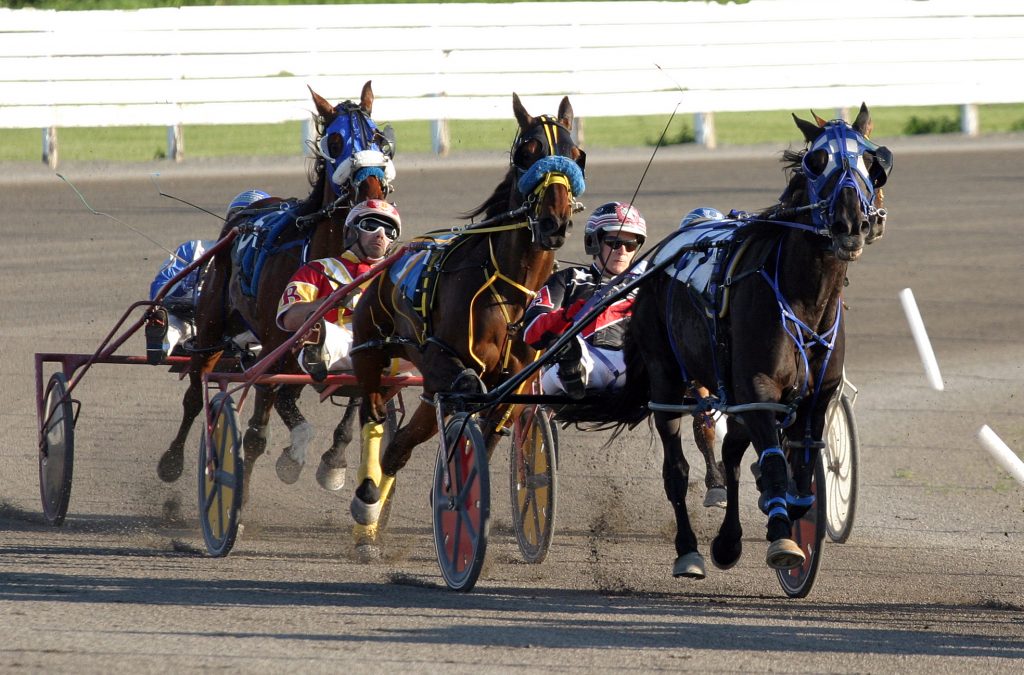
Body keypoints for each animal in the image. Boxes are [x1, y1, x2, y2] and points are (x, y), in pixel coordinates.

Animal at [158, 81, 395, 501]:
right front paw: (239, 490)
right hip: (213, 324)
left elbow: (355, 399)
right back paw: (172, 461)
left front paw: (333, 461)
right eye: (335, 140)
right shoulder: (273, 345)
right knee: (195, 394)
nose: (371, 187)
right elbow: (255, 432)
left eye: (379, 138)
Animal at [348, 93, 585, 549]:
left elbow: (489, 433)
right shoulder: (446, 360)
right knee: (375, 413)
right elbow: (464, 393)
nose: (554, 221)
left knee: (403, 441)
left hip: (426, 387)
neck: (509, 287)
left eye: (576, 154)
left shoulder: (513, 381)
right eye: (527, 153)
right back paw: (367, 501)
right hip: (372, 343)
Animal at [618, 105, 892, 581]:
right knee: (676, 467)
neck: (804, 299)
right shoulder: (759, 389)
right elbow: (775, 462)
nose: (851, 225)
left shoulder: (816, 395)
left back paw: (728, 541)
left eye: (873, 164)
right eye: (817, 161)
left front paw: (785, 516)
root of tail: (662, 255)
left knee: (729, 452)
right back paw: (689, 550)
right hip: (666, 377)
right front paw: (783, 538)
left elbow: (800, 468)